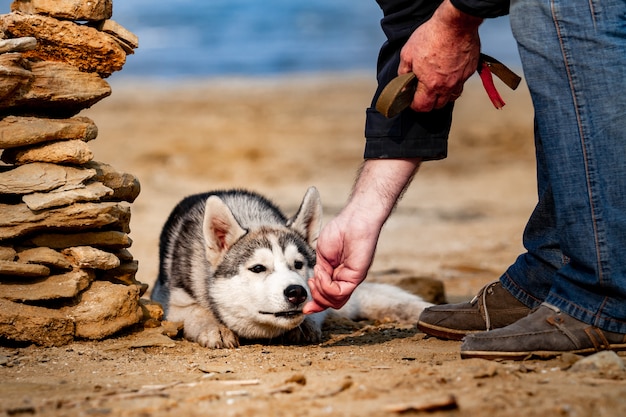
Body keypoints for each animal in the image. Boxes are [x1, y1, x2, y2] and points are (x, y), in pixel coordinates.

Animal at [151, 186, 432, 348]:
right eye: (258, 268)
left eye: (298, 265)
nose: (297, 292)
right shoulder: (168, 300)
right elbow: (195, 311)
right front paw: (214, 327)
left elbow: (314, 312)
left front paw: (304, 325)